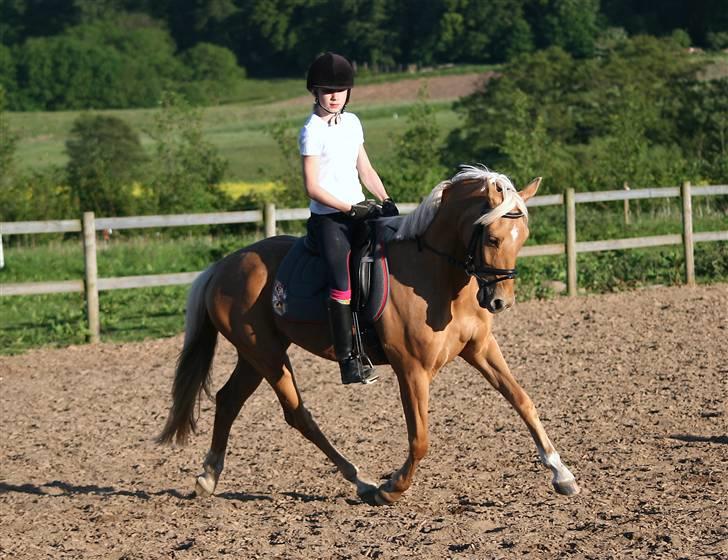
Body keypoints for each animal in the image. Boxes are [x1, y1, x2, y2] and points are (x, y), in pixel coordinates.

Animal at [158, 165, 580, 504]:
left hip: (257, 353)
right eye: (492, 238)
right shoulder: (411, 368)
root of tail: (223, 266)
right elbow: (420, 438)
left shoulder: (480, 348)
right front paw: (392, 488)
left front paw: (562, 474)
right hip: (267, 354)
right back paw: (362, 481)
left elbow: (523, 400)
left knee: (229, 400)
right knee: (298, 415)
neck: (438, 277)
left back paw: (208, 477)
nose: (499, 301)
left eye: (523, 236)